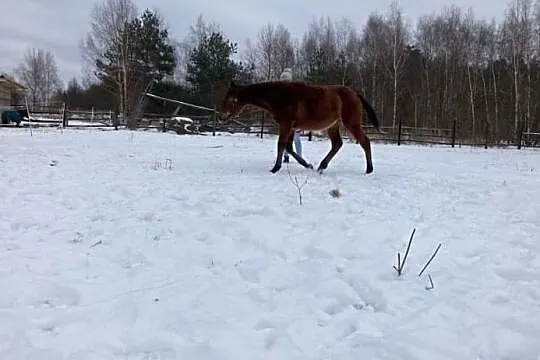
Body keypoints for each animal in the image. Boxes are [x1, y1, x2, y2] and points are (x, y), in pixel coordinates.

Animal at [217, 80, 382, 174]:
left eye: (230, 99)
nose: (221, 117)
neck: (280, 96)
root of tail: (354, 93)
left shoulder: (286, 125)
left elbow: (281, 144)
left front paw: (275, 168)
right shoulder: (290, 127)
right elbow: (289, 148)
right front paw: (307, 164)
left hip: (351, 123)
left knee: (365, 142)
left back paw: (369, 169)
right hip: (333, 125)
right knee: (337, 144)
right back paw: (321, 166)